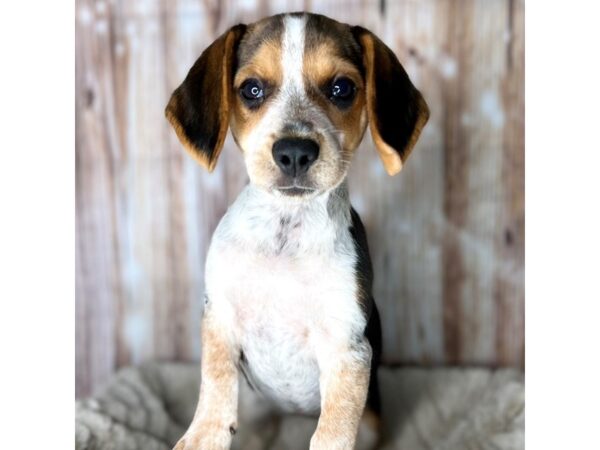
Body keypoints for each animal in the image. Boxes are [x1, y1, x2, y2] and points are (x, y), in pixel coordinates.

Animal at [164, 11, 426, 450]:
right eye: (252, 89)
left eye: (342, 88)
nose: (295, 152)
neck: (285, 233)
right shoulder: (219, 318)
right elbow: (215, 382)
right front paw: (203, 434)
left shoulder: (346, 349)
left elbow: (332, 431)